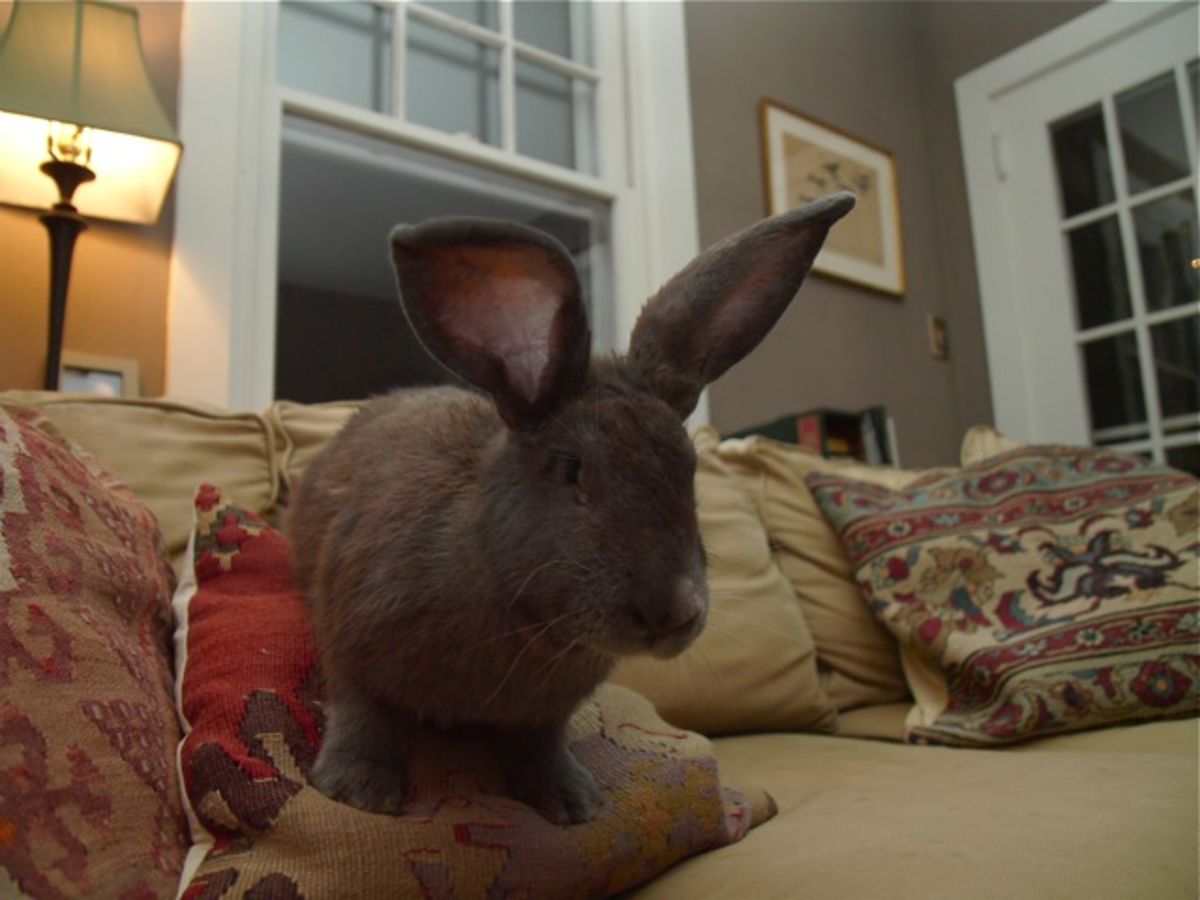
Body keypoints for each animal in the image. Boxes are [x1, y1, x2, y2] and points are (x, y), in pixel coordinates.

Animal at [288, 190, 857, 824]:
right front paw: (357, 790)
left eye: (688, 469)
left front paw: (573, 802)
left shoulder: (540, 715)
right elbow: (364, 710)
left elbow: (538, 744)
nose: (673, 611)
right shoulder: (348, 640)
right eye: (570, 469)